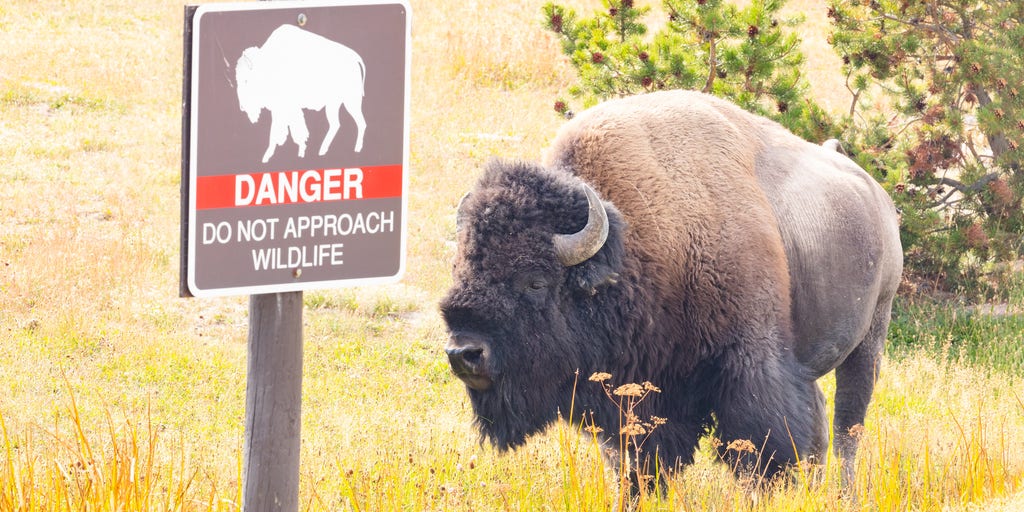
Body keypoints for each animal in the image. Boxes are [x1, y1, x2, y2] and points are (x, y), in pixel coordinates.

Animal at [440, 90, 902, 483]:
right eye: (460, 269)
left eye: (536, 281)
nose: (464, 353)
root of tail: (878, 198)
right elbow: (634, 461)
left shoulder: (750, 365)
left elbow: (762, 448)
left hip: (870, 338)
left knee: (848, 426)